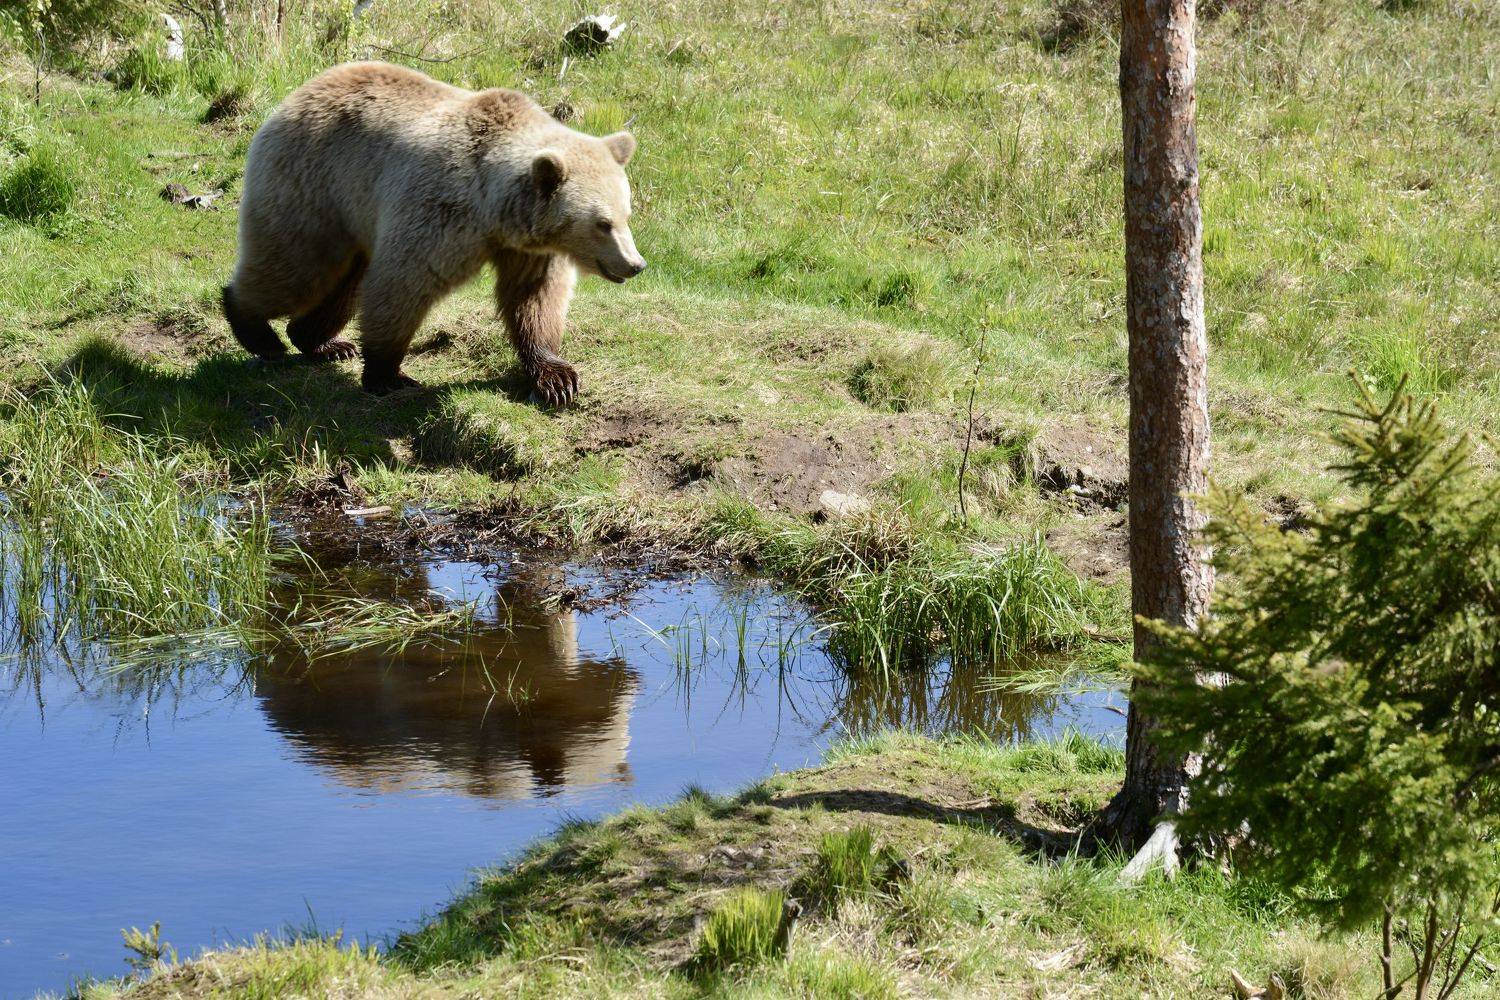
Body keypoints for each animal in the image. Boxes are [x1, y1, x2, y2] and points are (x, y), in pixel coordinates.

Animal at [221, 62, 646, 403]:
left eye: (626, 214)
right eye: (602, 224)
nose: (634, 264)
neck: (495, 210)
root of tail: (300, 92)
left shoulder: (530, 248)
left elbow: (534, 298)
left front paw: (557, 377)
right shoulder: (439, 214)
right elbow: (403, 284)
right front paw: (389, 375)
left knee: (343, 284)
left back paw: (322, 341)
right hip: (314, 186)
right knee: (296, 266)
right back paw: (258, 330)